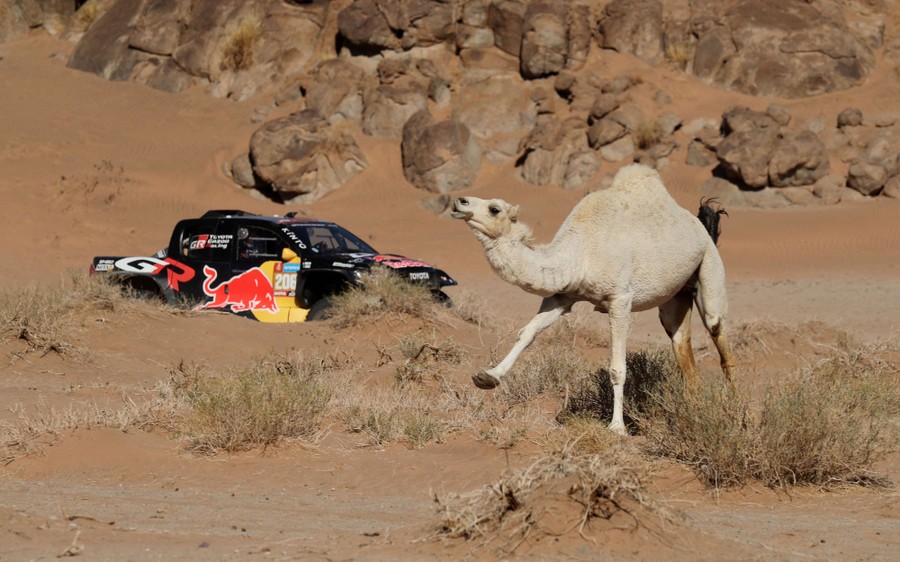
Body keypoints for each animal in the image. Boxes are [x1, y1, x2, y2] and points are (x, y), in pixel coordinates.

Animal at [451, 164, 735, 434]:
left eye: (494, 208)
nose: (458, 201)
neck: (580, 252)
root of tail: (700, 226)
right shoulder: (562, 296)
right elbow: (527, 333)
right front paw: (489, 376)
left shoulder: (620, 299)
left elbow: (617, 368)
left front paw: (617, 427)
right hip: (676, 294)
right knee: (681, 342)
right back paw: (693, 408)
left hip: (709, 263)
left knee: (717, 329)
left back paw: (731, 403)